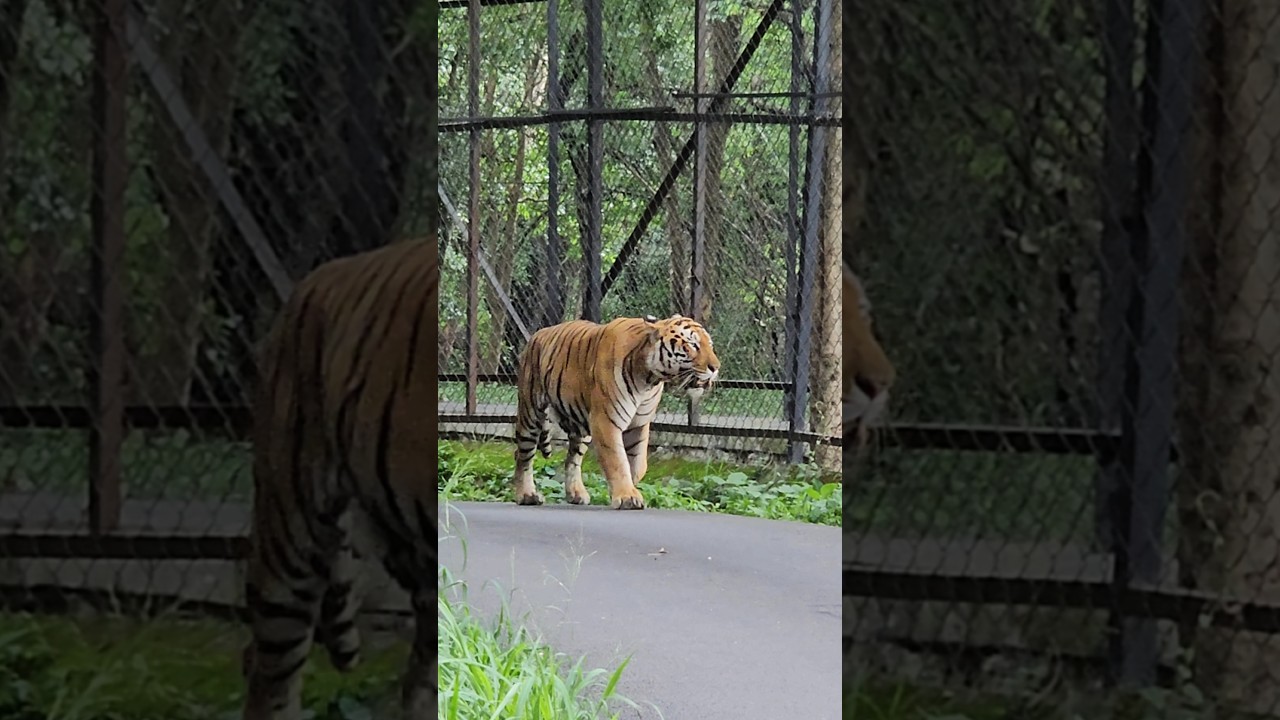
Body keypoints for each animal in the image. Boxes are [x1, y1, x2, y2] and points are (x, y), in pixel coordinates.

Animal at [511, 313, 720, 510]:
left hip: (581, 427)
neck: (649, 379)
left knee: (572, 459)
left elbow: (638, 463)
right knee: (523, 455)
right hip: (531, 414)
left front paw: (627, 490)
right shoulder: (606, 421)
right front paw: (627, 497)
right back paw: (527, 496)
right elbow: (618, 461)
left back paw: (576, 494)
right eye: (693, 345)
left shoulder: (639, 424)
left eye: (709, 345)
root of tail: (537, 334)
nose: (716, 367)